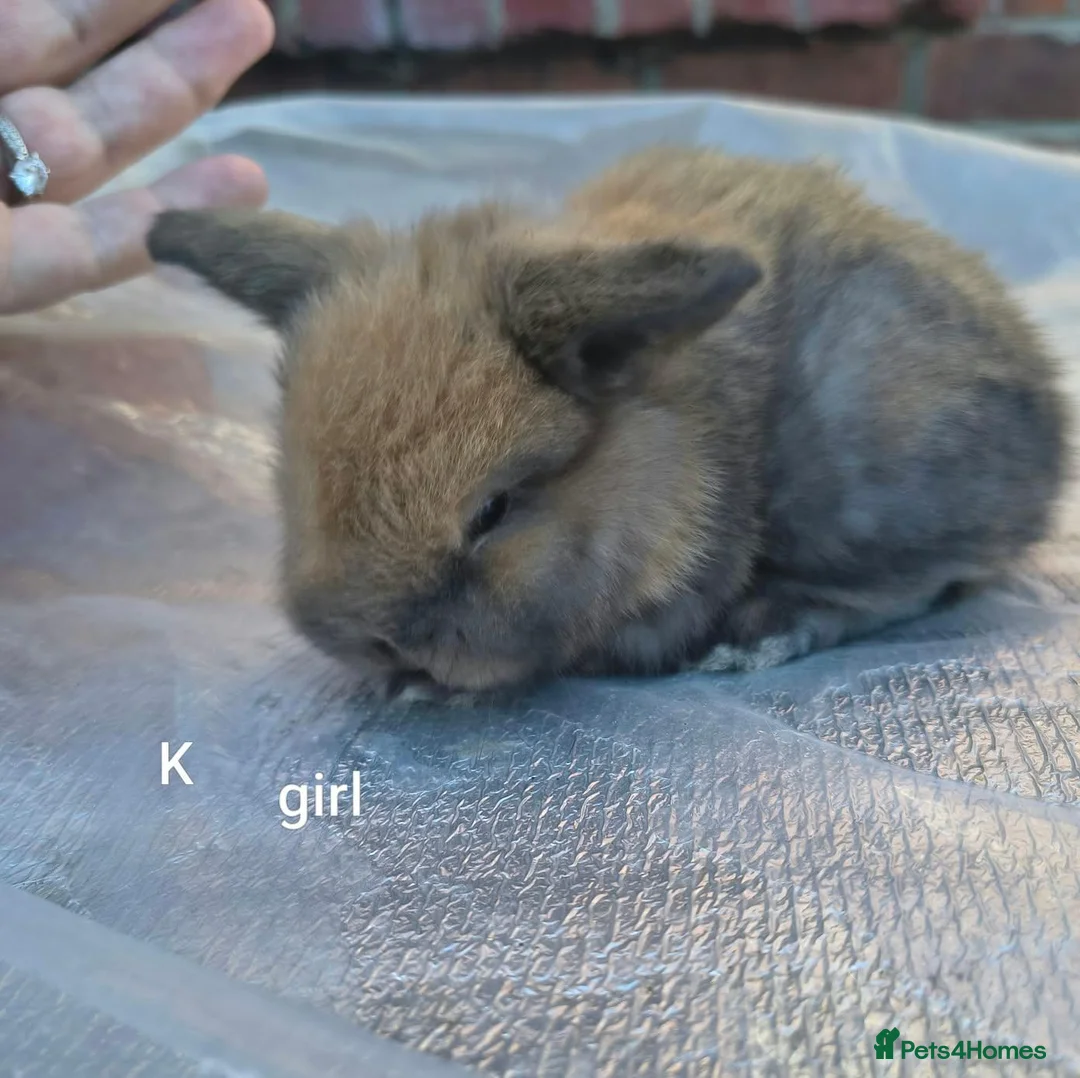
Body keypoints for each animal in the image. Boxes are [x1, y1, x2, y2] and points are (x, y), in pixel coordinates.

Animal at [146, 145, 1069, 700]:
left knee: (919, 582)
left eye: (494, 510)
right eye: (289, 479)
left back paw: (762, 633)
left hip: (871, 473)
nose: (369, 640)